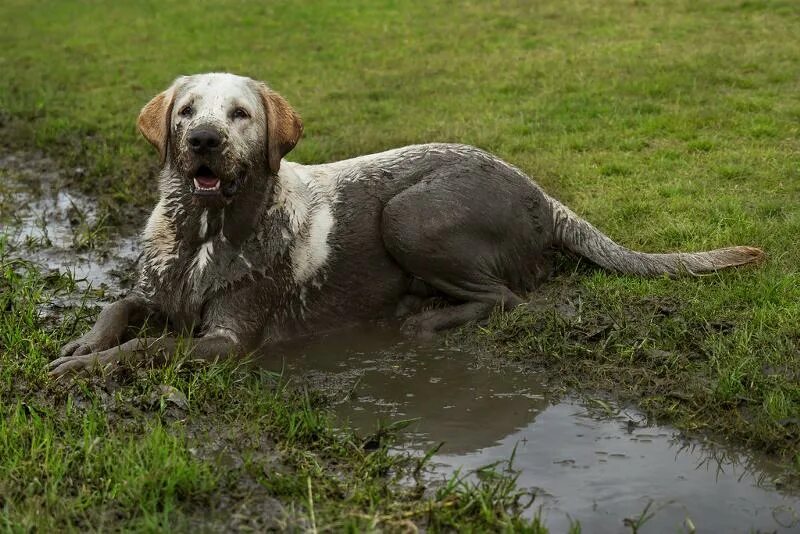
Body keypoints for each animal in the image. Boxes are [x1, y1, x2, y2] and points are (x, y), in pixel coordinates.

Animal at [50, 73, 764, 378]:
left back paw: (421, 319)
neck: (204, 230)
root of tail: (540, 193)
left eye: (240, 115)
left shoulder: (230, 338)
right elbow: (119, 306)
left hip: (409, 216)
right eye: (187, 111)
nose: (202, 140)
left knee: (504, 297)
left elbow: (150, 348)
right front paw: (83, 344)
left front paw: (88, 366)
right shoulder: (155, 290)